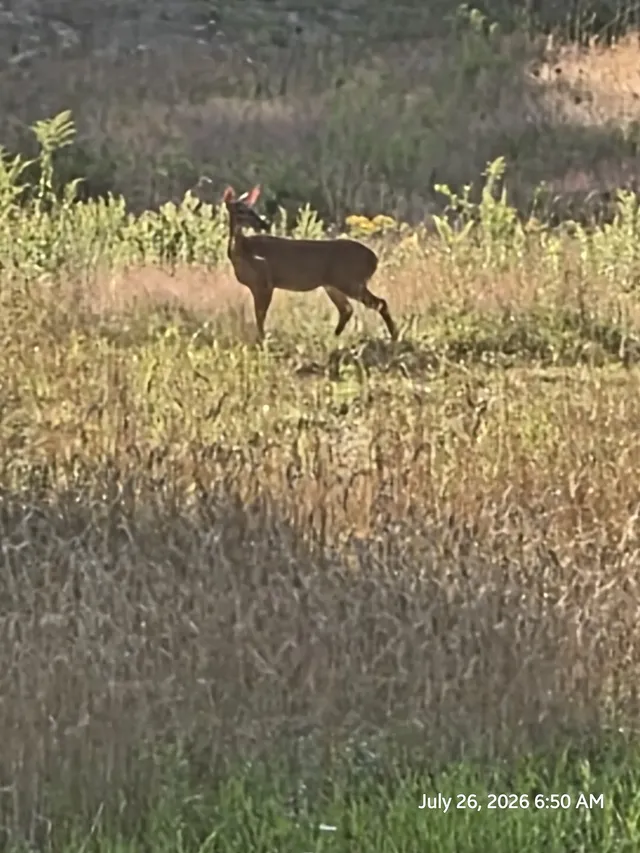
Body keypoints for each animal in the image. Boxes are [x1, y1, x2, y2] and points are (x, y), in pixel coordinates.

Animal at [205, 180, 399, 343]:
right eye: (241, 210)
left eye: (251, 209)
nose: (263, 223)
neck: (243, 251)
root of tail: (374, 259)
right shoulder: (257, 285)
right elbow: (259, 314)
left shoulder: (265, 281)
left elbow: (260, 315)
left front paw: (262, 339)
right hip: (333, 284)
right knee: (347, 309)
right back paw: (333, 337)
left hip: (349, 280)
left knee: (379, 303)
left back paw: (394, 336)